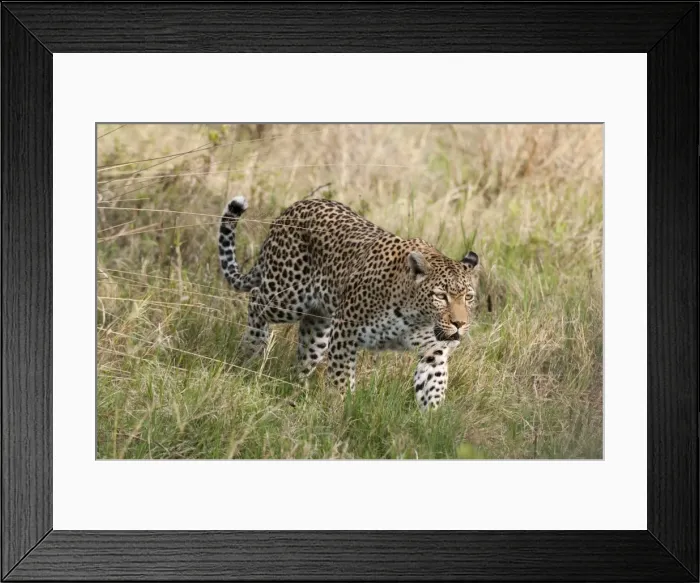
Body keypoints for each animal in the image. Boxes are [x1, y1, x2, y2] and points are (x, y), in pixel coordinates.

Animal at [218, 195, 480, 410]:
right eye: (441, 296)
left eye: (468, 297)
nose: (459, 324)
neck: (417, 317)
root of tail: (291, 208)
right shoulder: (346, 332)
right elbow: (341, 379)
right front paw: (342, 409)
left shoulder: (434, 350)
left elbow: (434, 386)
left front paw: (429, 422)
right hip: (285, 296)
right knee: (255, 300)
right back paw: (252, 350)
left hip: (318, 327)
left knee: (303, 358)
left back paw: (298, 388)